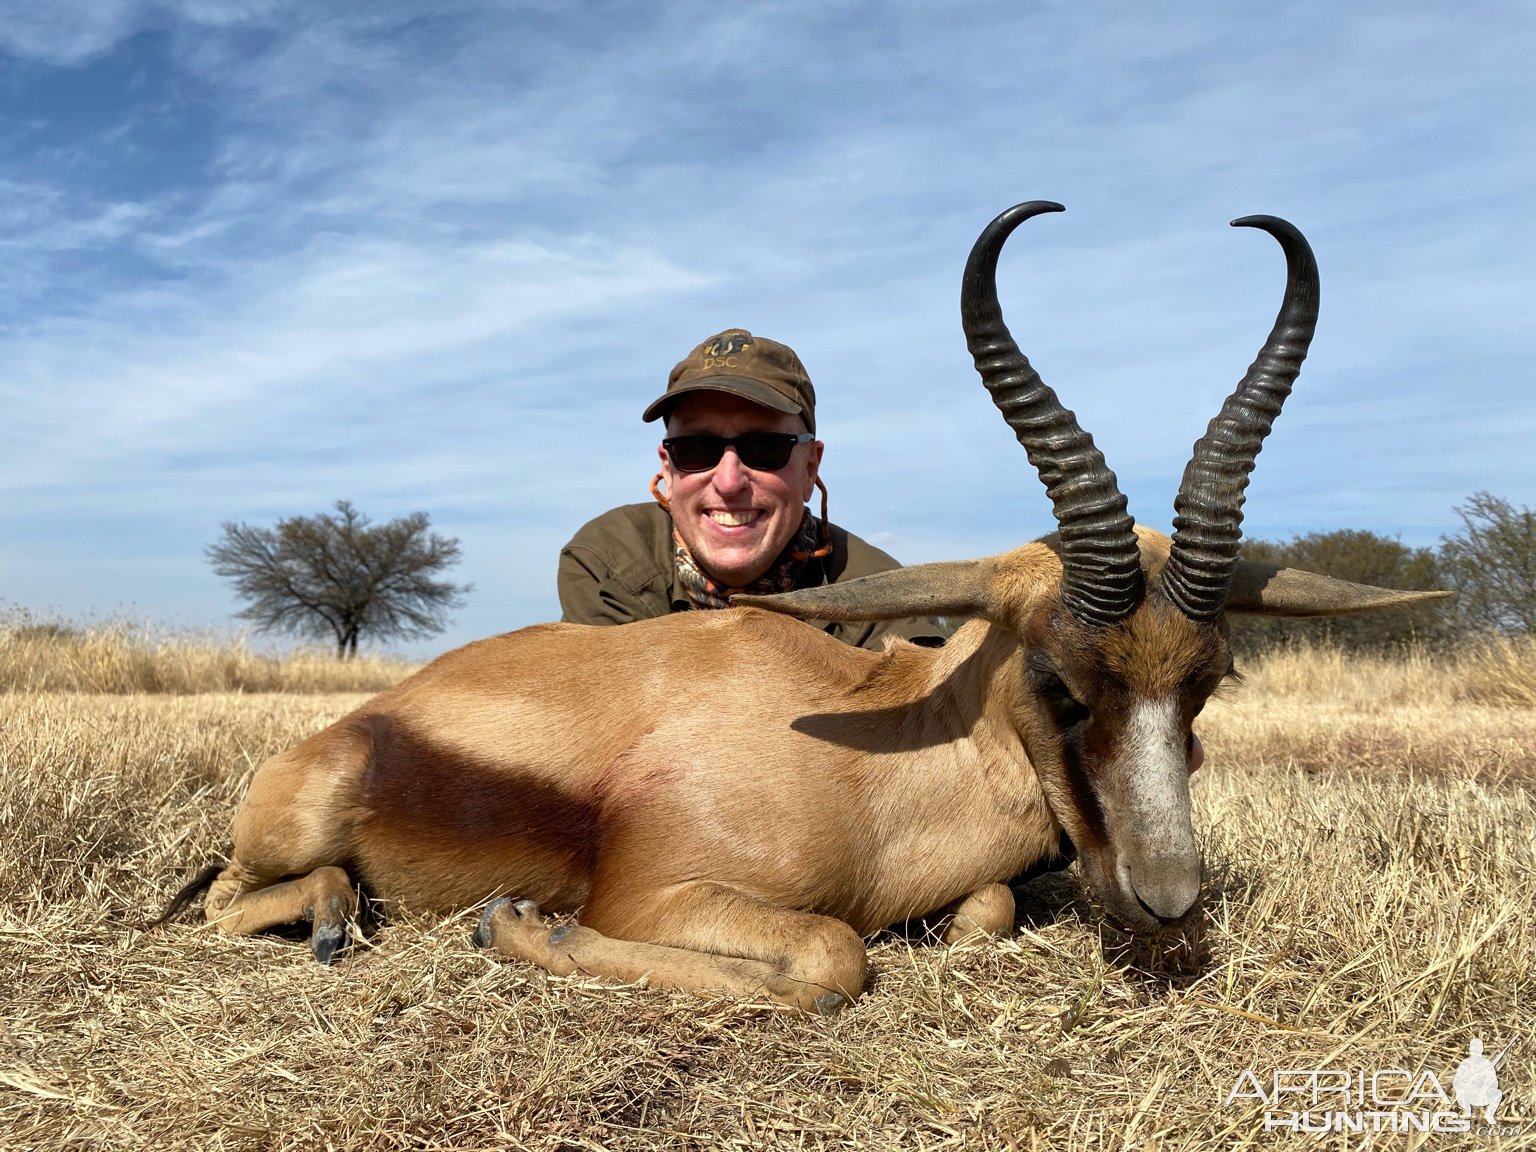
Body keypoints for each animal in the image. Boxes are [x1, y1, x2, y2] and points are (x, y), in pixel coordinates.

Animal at [162, 202, 1443, 1013]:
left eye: (1208, 682)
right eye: (1060, 676)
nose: (1168, 903)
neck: (885, 766)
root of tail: (360, 723)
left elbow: (981, 911)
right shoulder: (665, 893)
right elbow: (833, 961)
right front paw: (523, 925)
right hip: (298, 820)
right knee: (227, 898)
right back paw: (338, 915)